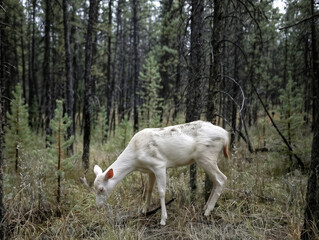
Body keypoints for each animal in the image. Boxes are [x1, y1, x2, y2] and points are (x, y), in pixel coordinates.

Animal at [93, 121, 230, 226]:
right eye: (94, 188)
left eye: (101, 189)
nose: (98, 206)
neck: (136, 159)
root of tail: (226, 135)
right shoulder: (150, 170)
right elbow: (148, 189)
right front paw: (144, 210)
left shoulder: (159, 164)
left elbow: (161, 192)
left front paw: (163, 219)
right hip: (206, 158)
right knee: (216, 181)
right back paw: (206, 207)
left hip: (206, 156)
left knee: (221, 178)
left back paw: (207, 211)